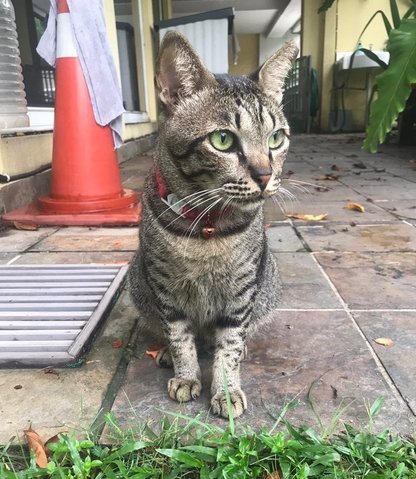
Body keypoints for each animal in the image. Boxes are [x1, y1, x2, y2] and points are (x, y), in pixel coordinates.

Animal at [128, 31, 298, 420]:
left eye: (276, 138)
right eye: (222, 140)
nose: (265, 176)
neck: (208, 229)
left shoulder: (241, 292)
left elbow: (230, 344)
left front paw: (226, 389)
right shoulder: (164, 287)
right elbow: (179, 336)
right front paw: (186, 375)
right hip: (138, 282)